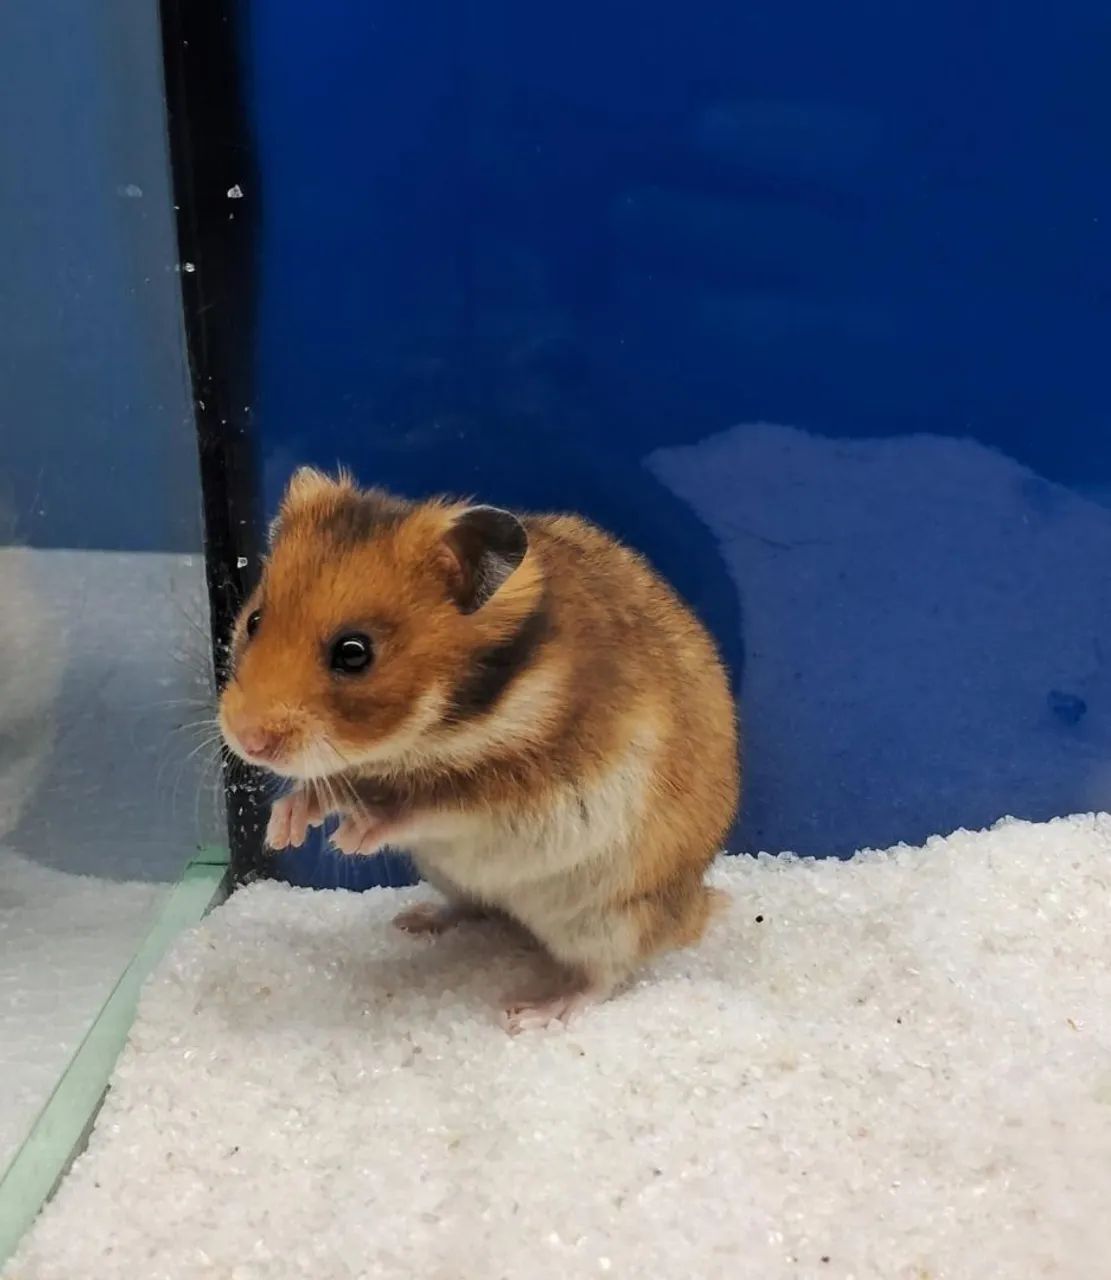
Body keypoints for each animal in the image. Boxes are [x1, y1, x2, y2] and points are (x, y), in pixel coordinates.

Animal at [219, 467, 740, 1031]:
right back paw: (415, 919)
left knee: (605, 978)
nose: (247, 741)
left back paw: (531, 1013)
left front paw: (349, 840)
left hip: (611, 918)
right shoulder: (360, 769)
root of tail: (694, 909)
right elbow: (326, 788)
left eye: (354, 653)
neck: (433, 732)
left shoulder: (513, 794)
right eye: (253, 620)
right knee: (478, 908)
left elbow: (421, 806)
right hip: (453, 878)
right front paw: (283, 830)